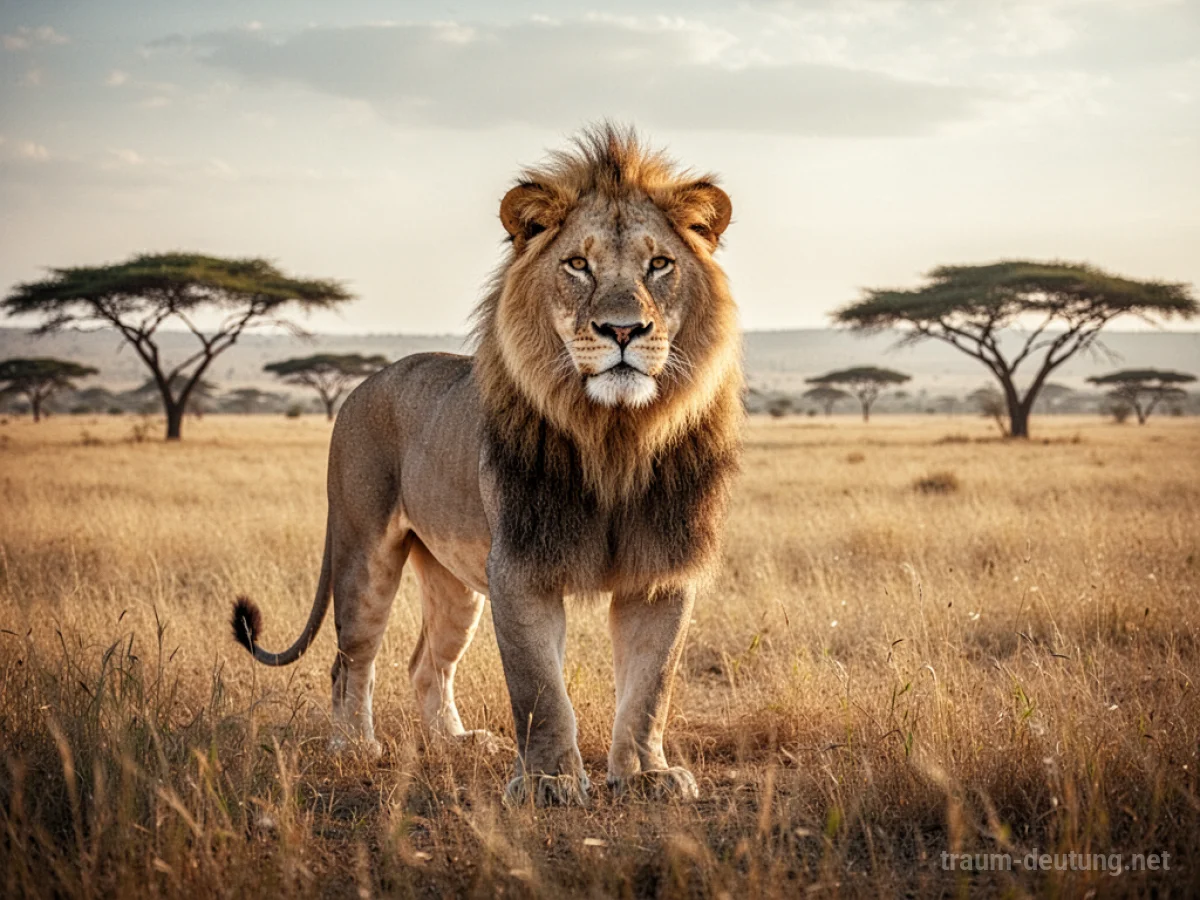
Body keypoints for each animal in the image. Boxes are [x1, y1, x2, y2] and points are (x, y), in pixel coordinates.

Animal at [231, 124, 742, 806]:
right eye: (577, 264)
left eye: (659, 264)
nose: (623, 330)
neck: (615, 436)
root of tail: (366, 381)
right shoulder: (520, 568)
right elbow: (539, 690)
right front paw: (551, 781)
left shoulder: (660, 571)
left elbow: (649, 688)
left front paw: (643, 776)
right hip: (364, 548)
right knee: (351, 657)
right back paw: (355, 747)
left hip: (452, 577)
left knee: (426, 663)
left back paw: (456, 742)